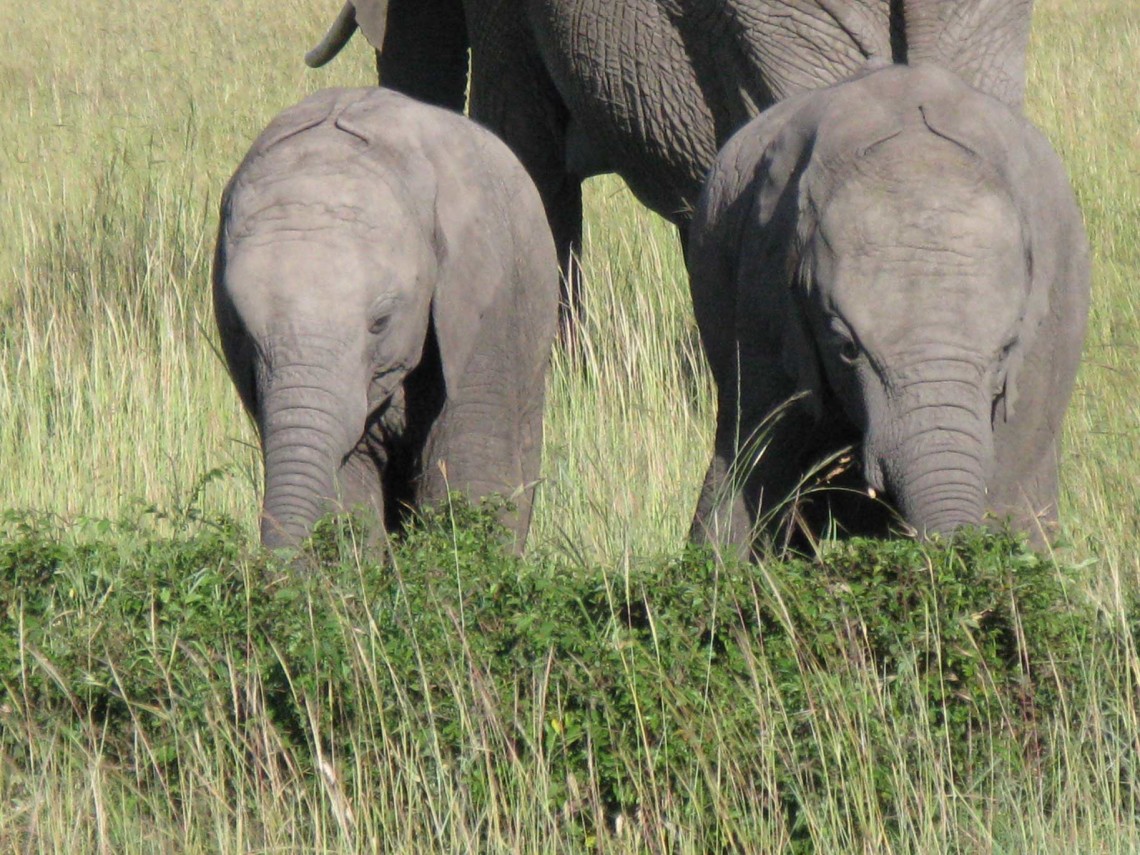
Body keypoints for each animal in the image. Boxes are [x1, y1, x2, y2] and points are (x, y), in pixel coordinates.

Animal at [684, 63, 1085, 551]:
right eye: (847, 348)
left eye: (1006, 351)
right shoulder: (763, 288)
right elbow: (756, 449)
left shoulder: (1047, 332)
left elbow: (1012, 474)